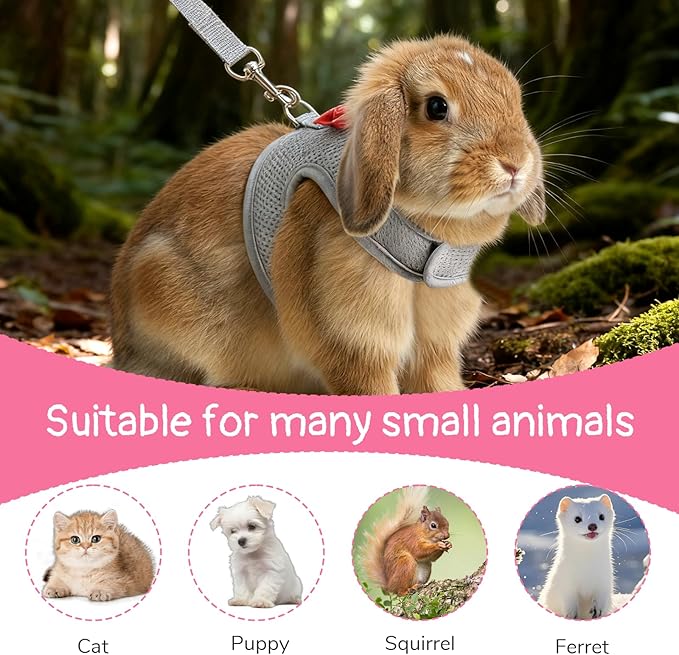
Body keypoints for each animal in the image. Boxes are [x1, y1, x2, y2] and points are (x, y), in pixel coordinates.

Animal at [110, 35, 545, 395]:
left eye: (515, 100)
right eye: (437, 107)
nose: (515, 163)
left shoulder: (435, 341)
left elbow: (436, 379)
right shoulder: (352, 334)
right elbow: (366, 381)